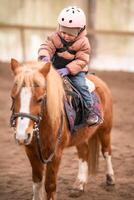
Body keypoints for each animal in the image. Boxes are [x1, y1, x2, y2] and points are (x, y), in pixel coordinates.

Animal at [10, 58, 114, 199]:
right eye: (12, 97)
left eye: (40, 99)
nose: (21, 136)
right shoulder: (31, 151)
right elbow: (37, 182)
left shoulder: (56, 154)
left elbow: (50, 185)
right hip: (81, 136)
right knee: (84, 153)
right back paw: (79, 185)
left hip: (105, 130)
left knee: (106, 151)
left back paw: (110, 180)